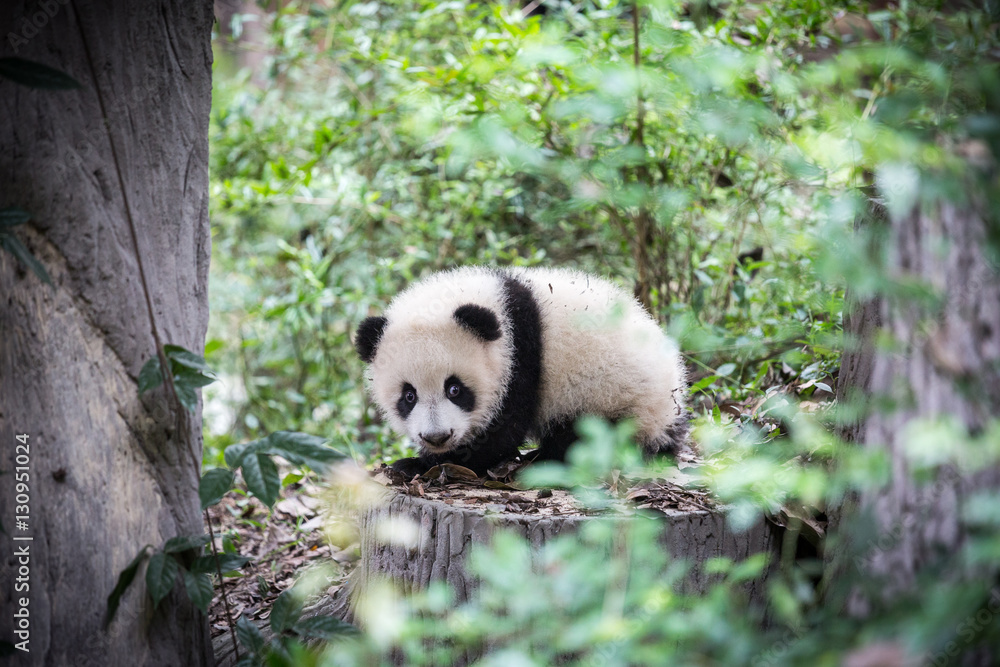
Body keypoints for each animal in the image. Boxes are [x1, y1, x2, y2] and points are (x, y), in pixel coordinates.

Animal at [354, 266, 689, 477]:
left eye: (455, 389)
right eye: (408, 396)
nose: (438, 437)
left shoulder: (522, 357)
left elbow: (502, 432)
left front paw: (419, 464)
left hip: (618, 399)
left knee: (586, 436)